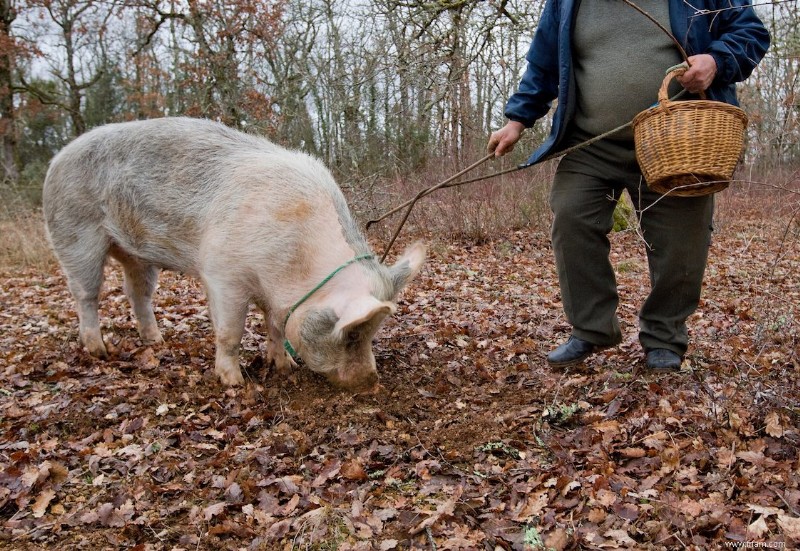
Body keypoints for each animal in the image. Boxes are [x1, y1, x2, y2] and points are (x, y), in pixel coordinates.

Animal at [43, 118, 424, 390]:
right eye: (352, 333)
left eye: (372, 332)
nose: (370, 383)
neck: (294, 265)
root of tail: (58, 157)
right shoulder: (222, 274)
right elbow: (230, 331)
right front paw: (235, 382)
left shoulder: (275, 294)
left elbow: (276, 327)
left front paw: (284, 368)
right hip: (74, 234)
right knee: (86, 294)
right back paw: (98, 350)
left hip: (136, 256)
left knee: (137, 293)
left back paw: (157, 340)